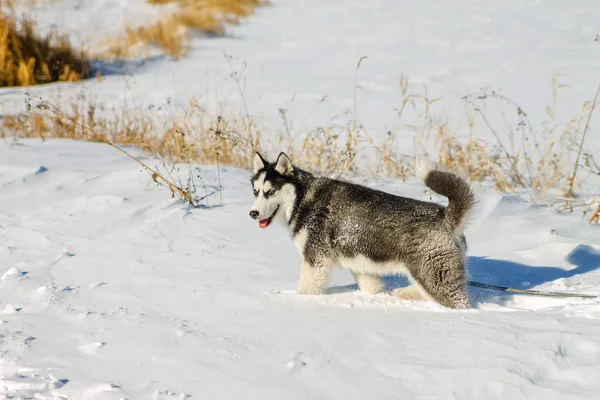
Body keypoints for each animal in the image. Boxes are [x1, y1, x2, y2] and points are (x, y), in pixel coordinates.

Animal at [247, 152, 474, 308]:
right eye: (256, 191)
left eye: (271, 192)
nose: (253, 213)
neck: (302, 200)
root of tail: (445, 216)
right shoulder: (357, 262)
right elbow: (371, 287)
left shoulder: (316, 259)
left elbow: (306, 289)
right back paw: (406, 293)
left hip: (434, 275)